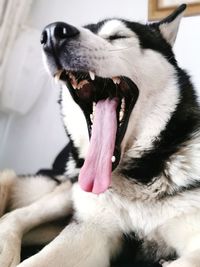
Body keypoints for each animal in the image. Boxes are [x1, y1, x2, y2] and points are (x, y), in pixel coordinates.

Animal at [0, 4, 200, 267]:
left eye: (117, 36)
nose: (52, 33)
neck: (139, 174)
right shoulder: (91, 228)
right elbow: (36, 260)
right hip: (68, 194)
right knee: (16, 215)